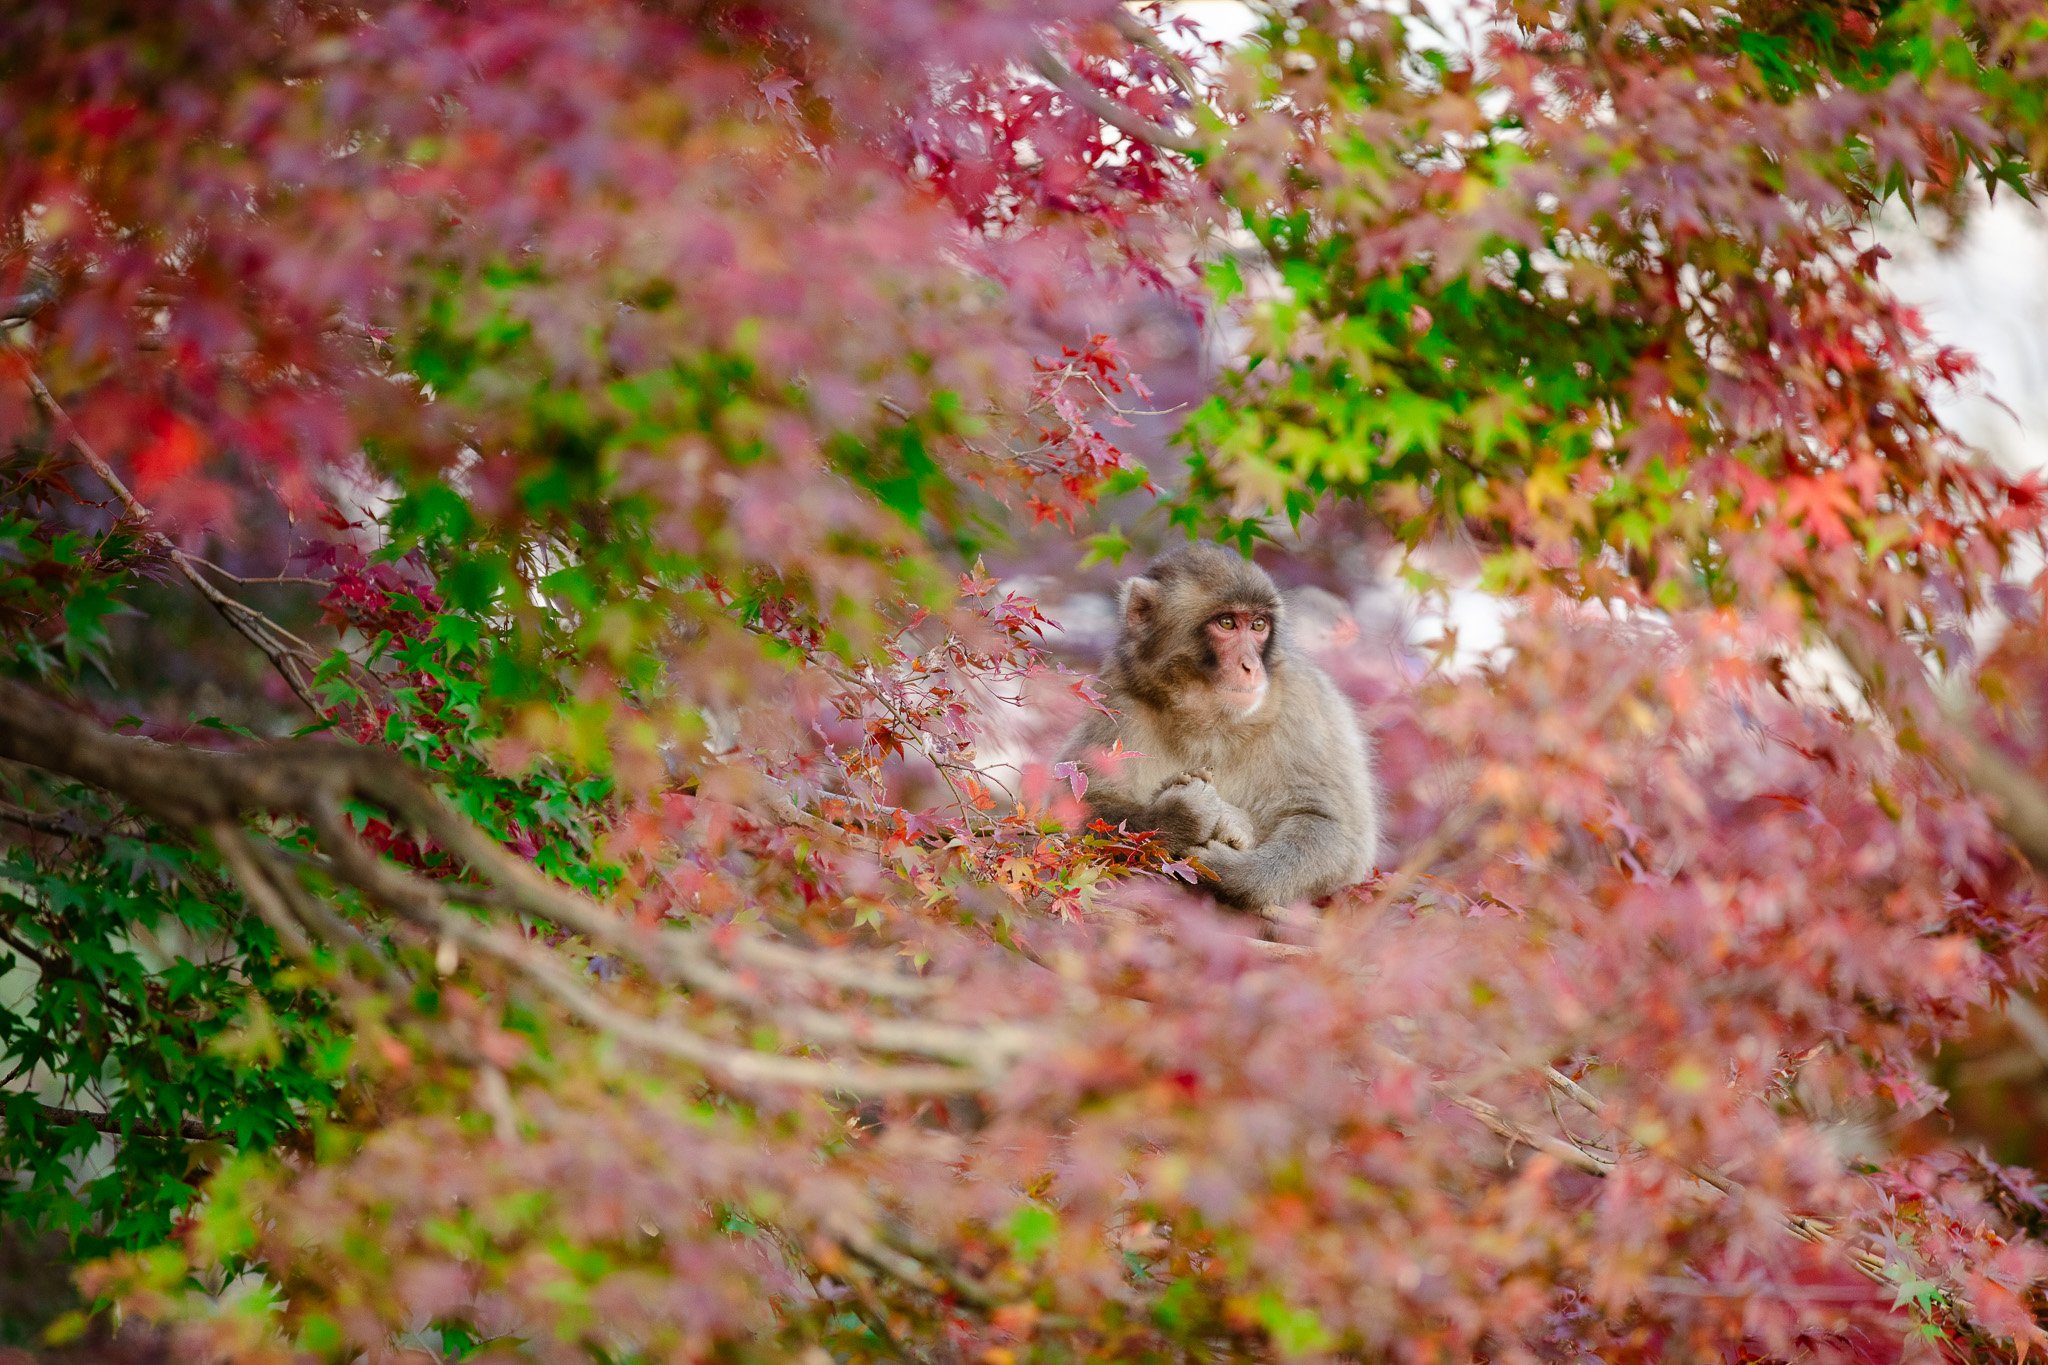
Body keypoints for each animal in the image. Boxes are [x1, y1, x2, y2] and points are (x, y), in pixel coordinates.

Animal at [1060, 543, 1380, 912]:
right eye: (1227, 623)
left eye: (1258, 625)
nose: (1251, 666)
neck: (1210, 720)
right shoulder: (1117, 701)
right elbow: (1076, 808)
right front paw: (1181, 814)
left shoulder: (1305, 705)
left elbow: (1334, 828)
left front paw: (1234, 863)